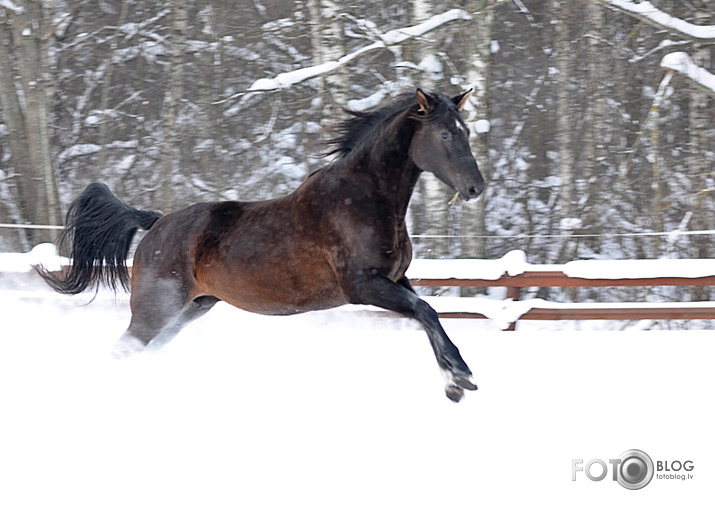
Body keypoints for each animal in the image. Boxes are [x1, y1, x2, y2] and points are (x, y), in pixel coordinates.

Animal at [39, 89, 486, 404]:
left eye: (467, 131)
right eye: (446, 133)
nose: (476, 188)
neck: (365, 200)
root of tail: (156, 223)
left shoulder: (396, 280)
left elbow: (425, 315)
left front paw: (452, 383)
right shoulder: (364, 286)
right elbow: (426, 312)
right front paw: (462, 376)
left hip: (188, 310)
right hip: (155, 310)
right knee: (122, 350)